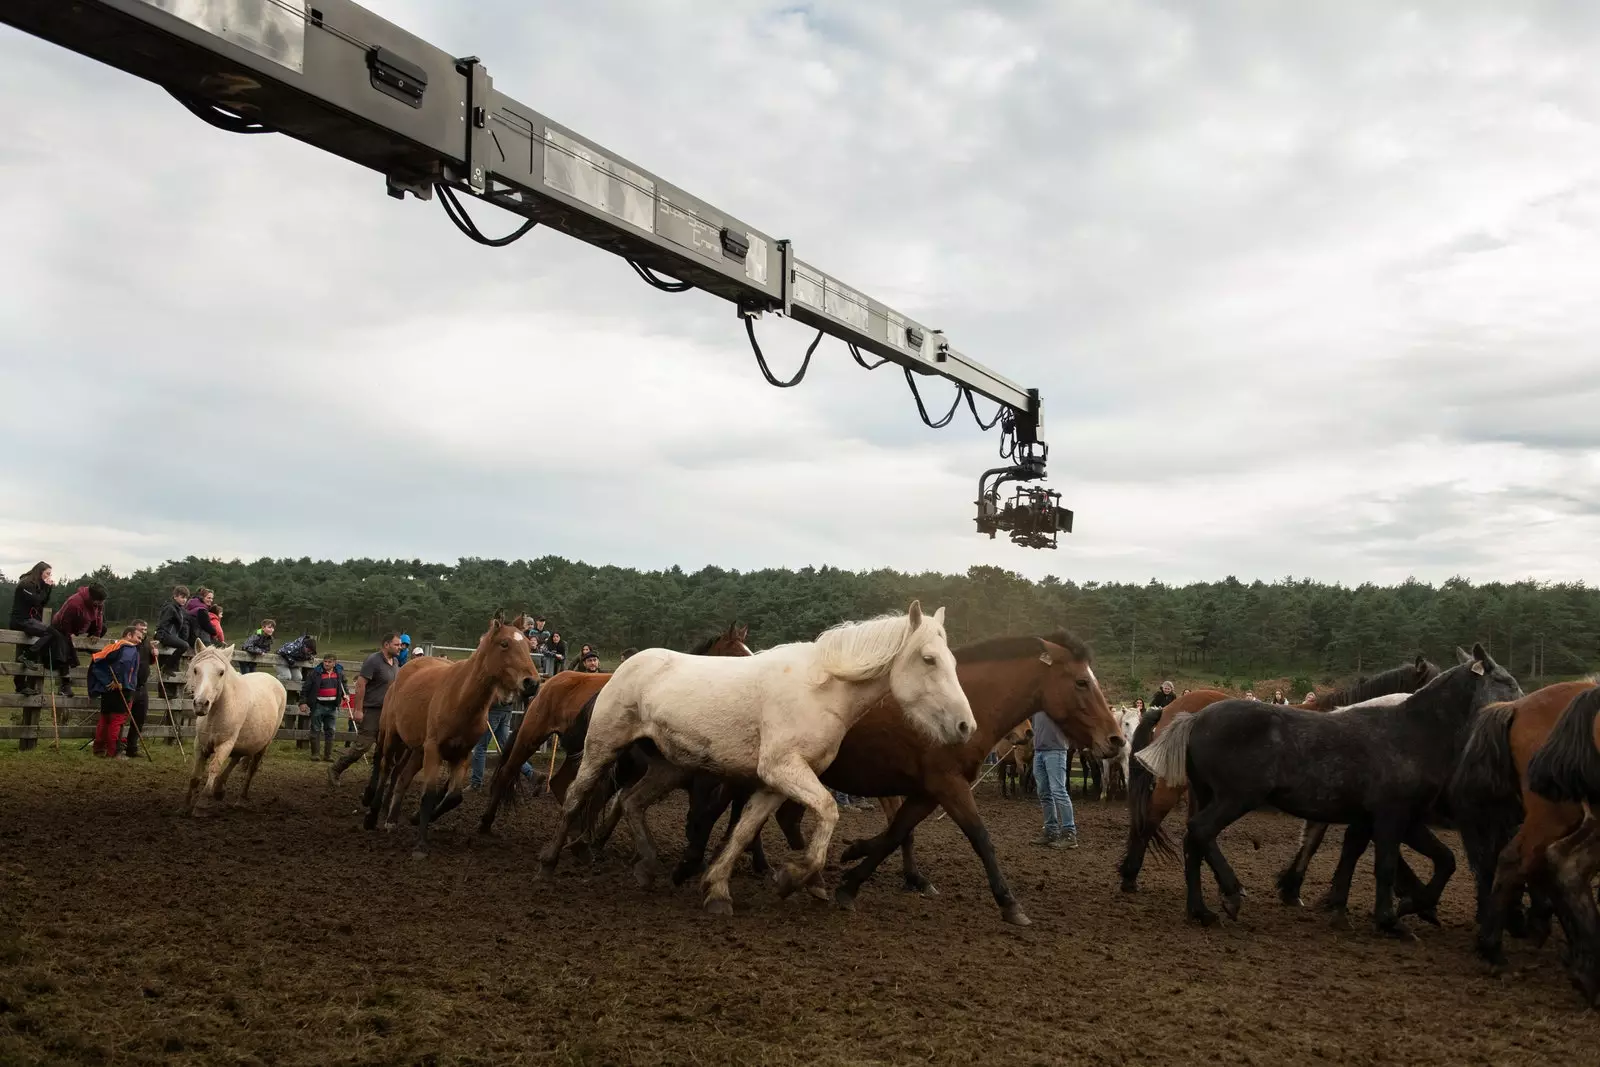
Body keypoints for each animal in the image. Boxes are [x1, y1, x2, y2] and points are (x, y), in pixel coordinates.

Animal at [183, 643, 289, 819]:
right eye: (196, 669)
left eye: (221, 672)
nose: (201, 704)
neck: (216, 713)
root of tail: (273, 679)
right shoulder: (200, 745)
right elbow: (194, 777)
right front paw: (185, 807)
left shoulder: (225, 745)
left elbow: (213, 768)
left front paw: (201, 806)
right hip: (243, 741)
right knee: (237, 758)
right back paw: (219, 789)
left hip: (263, 745)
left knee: (251, 770)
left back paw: (240, 800)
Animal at [360, 614, 540, 857]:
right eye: (505, 644)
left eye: (528, 645)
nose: (532, 682)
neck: (460, 698)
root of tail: (405, 670)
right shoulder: (434, 750)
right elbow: (428, 795)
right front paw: (421, 844)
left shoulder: (461, 754)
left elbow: (454, 797)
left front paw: (419, 819)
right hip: (392, 737)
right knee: (386, 768)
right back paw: (372, 815)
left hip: (417, 751)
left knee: (401, 776)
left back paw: (392, 819)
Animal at [540, 601, 972, 921]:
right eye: (929, 659)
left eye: (952, 661)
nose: (965, 725)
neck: (822, 691)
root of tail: (624, 668)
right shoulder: (781, 770)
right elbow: (828, 812)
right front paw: (792, 877)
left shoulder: (774, 783)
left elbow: (744, 831)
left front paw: (717, 889)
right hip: (602, 748)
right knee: (576, 795)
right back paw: (549, 861)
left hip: (668, 766)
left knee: (630, 801)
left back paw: (646, 866)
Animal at [668, 633, 1120, 927]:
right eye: (1082, 682)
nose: (1114, 739)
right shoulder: (948, 786)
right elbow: (980, 838)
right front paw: (1009, 903)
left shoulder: (926, 792)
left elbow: (897, 833)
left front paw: (854, 876)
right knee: (716, 812)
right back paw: (696, 867)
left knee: (764, 817)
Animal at [1139, 643, 1510, 934]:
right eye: (1504, 681)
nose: (1515, 712)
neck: (1405, 734)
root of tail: (1192, 717)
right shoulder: (1390, 815)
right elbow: (1381, 860)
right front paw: (1392, 914)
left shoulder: (1372, 816)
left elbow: (1350, 851)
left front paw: (1324, 900)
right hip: (1232, 797)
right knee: (1188, 829)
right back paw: (1221, 892)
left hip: (1207, 794)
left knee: (1193, 840)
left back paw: (1201, 910)